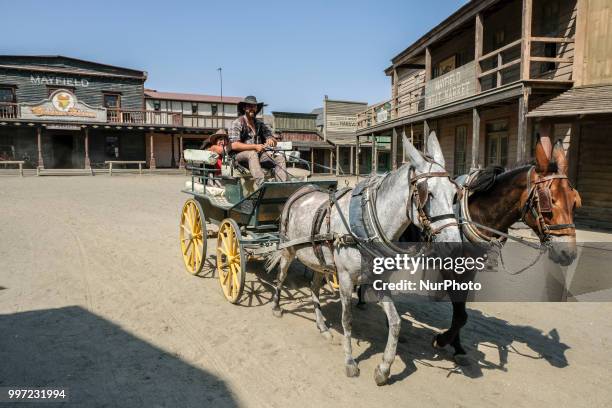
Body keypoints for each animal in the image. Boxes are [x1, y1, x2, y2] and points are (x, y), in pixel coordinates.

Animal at [266, 134, 462, 386]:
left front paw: (384, 369)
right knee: (281, 277)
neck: (366, 223)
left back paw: (322, 326)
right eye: (426, 193)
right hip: (288, 250)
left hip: (318, 259)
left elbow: (396, 322)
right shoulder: (346, 278)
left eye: (455, 193)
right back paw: (276, 306)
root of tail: (300, 189)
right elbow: (347, 319)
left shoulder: (378, 280)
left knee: (314, 288)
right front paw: (350, 362)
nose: (454, 245)